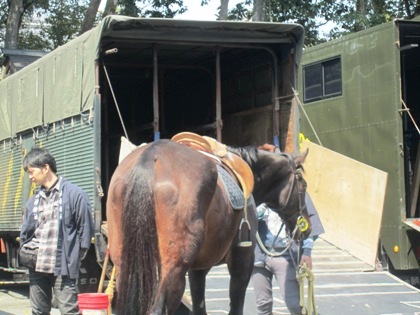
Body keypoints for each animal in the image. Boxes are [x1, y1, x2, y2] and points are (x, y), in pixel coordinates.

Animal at [105, 139, 308, 314]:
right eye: (303, 185)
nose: (306, 227)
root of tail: (150, 158)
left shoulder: (197, 270)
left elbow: (199, 307)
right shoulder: (242, 260)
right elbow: (235, 307)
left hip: (126, 267)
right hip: (173, 270)